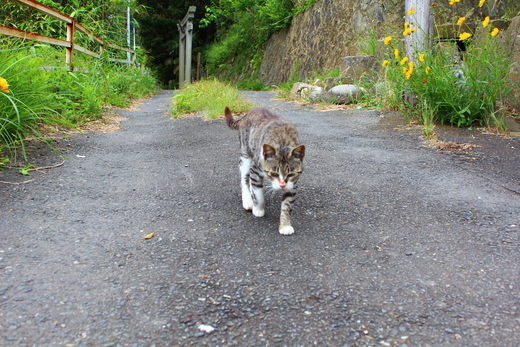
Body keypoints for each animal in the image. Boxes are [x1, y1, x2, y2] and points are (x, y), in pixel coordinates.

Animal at [223, 106, 304, 237]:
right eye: (274, 173)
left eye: (290, 174)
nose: (282, 185)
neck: (282, 142)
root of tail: (246, 115)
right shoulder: (255, 169)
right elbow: (258, 193)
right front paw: (258, 209)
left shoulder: (292, 184)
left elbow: (287, 205)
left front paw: (285, 225)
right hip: (246, 155)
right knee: (244, 180)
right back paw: (248, 200)